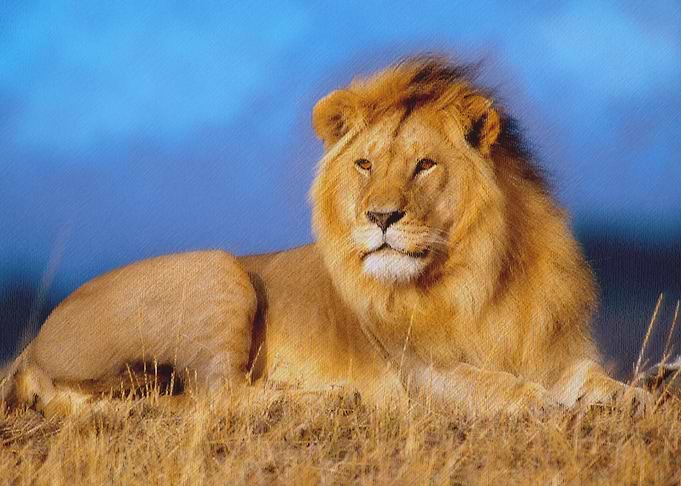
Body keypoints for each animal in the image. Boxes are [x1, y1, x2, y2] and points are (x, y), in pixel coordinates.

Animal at [1, 56, 647, 416]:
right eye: (364, 164)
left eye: (424, 165)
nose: (380, 217)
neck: (479, 277)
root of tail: (30, 347)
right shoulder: (418, 371)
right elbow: (486, 383)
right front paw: (536, 401)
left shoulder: (554, 347)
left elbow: (588, 376)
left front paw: (629, 395)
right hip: (219, 269)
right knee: (216, 397)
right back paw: (328, 398)